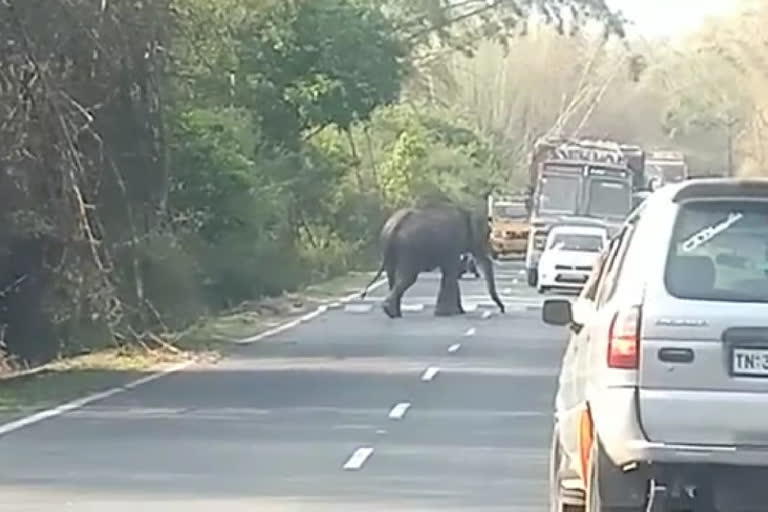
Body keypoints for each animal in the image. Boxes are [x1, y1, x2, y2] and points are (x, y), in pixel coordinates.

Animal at [358, 203, 504, 316]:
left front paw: (457, 312)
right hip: (409, 249)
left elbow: (450, 273)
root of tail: (394, 224)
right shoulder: (453, 243)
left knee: (393, 277)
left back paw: (393, 312)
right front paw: (448, 313)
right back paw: (391, 311)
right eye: (487, 234)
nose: (502, 310)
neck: (467, 213)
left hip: (389, 247)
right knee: (407, 278)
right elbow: (451, 273)